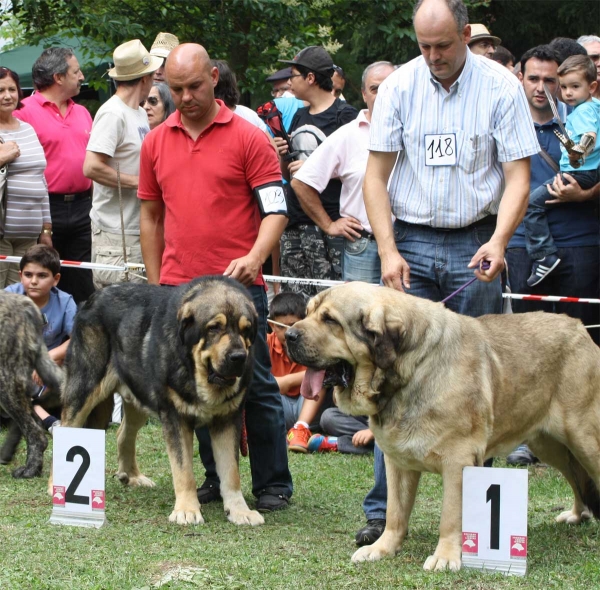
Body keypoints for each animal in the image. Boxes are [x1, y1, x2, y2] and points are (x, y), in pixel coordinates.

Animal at [50, 276, 266, 528]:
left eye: (246, 330)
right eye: (214, 327)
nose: (238, 357)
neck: (194, 370)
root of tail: (92, 297)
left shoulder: (228, 420)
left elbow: (231, 472)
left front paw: (240, 511)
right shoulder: (175, 418)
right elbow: (184, 470)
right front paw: (187, 510)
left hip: (139, 396)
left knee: (123, 434)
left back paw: (132, 476)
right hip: (84, 388)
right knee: (65, 429)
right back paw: (57, 486)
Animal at [288, 282, 600, 572]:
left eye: (330, 320)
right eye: (308, 313)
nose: (289, 334)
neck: (412, 369)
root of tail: (580, 328)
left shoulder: (458, 461)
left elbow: (450, 516)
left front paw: (446, 556)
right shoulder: (397, 462)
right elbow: (395, 512)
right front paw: (382, 548)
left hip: (583, 438)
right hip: (548, 444)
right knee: (575, 477)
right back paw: (576, 514)